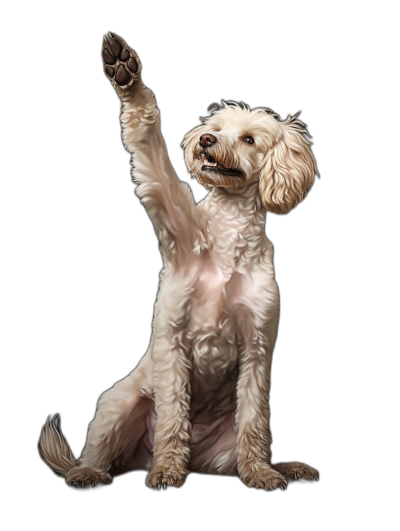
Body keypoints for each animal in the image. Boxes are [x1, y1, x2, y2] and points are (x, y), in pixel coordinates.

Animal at [39, 32, 320, 490]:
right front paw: (168, 469)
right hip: (118, 404)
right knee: (100, 455)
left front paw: (261, 473)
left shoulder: (257, 347)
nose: (206, 140)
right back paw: (91, 472)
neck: (229, 230)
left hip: (221, 448)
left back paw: (285, 466)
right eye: (216, 129)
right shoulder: (174, 331)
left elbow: (255, 420)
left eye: (249, 139)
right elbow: (153, 161)